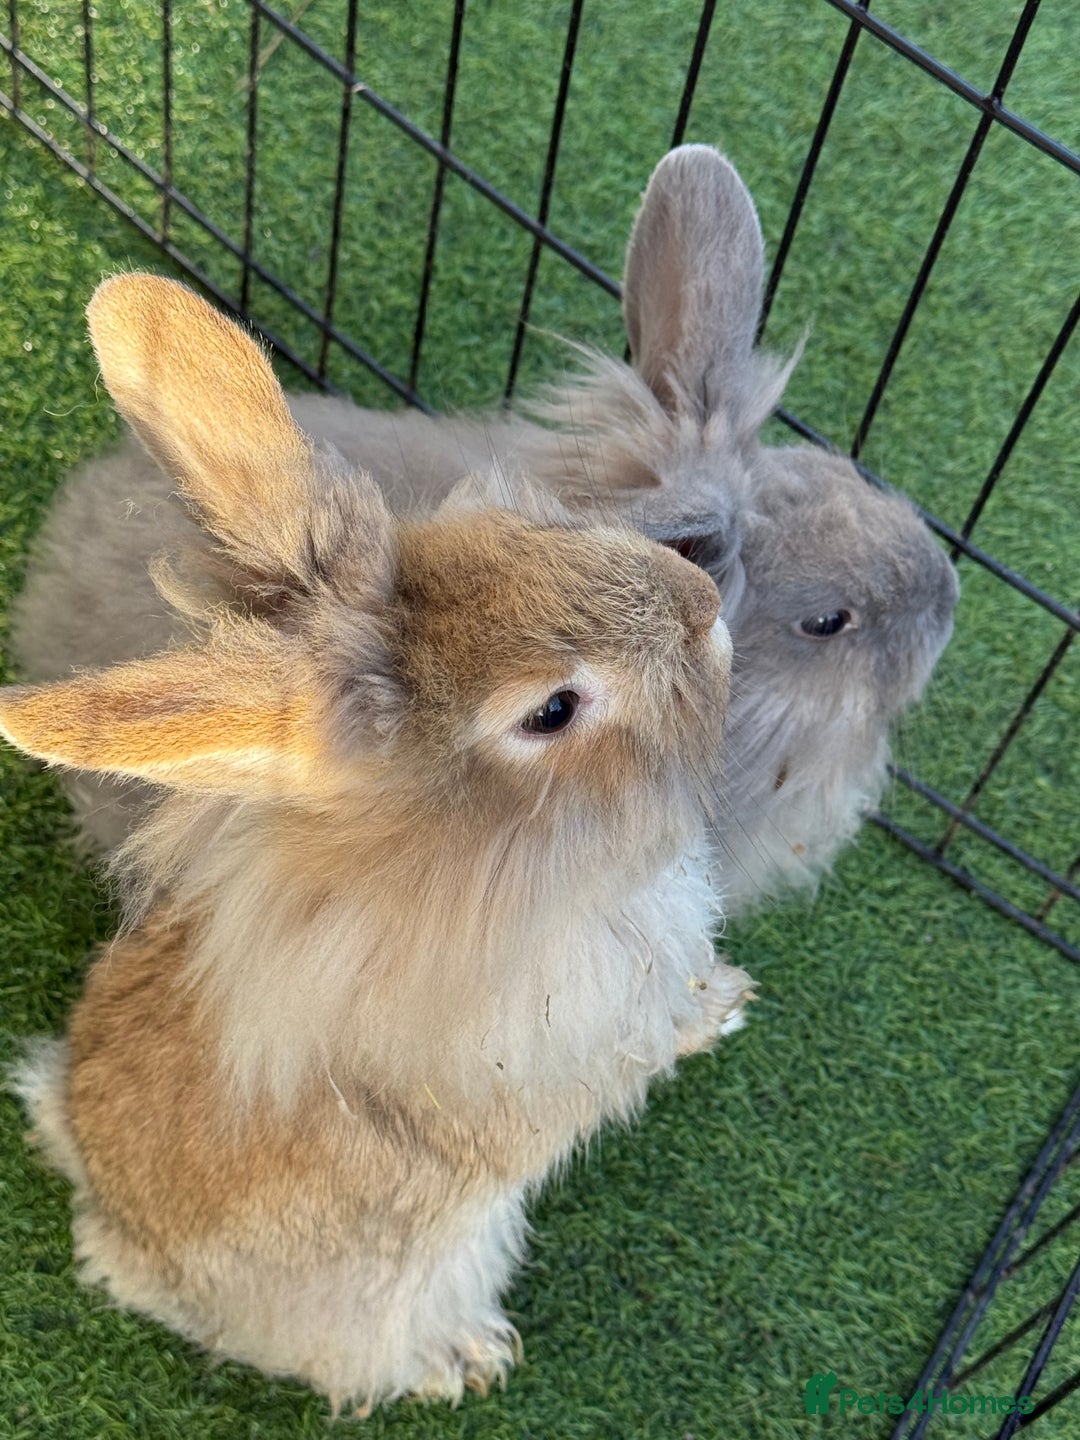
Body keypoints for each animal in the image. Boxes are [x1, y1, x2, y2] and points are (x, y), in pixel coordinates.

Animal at [3, 274, 755, 1413]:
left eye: (513, 537)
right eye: (551, 711)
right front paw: (719, 1016)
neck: (484, 863)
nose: (704, 602)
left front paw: (728, 998)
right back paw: (465, 1359)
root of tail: (109, 1224)